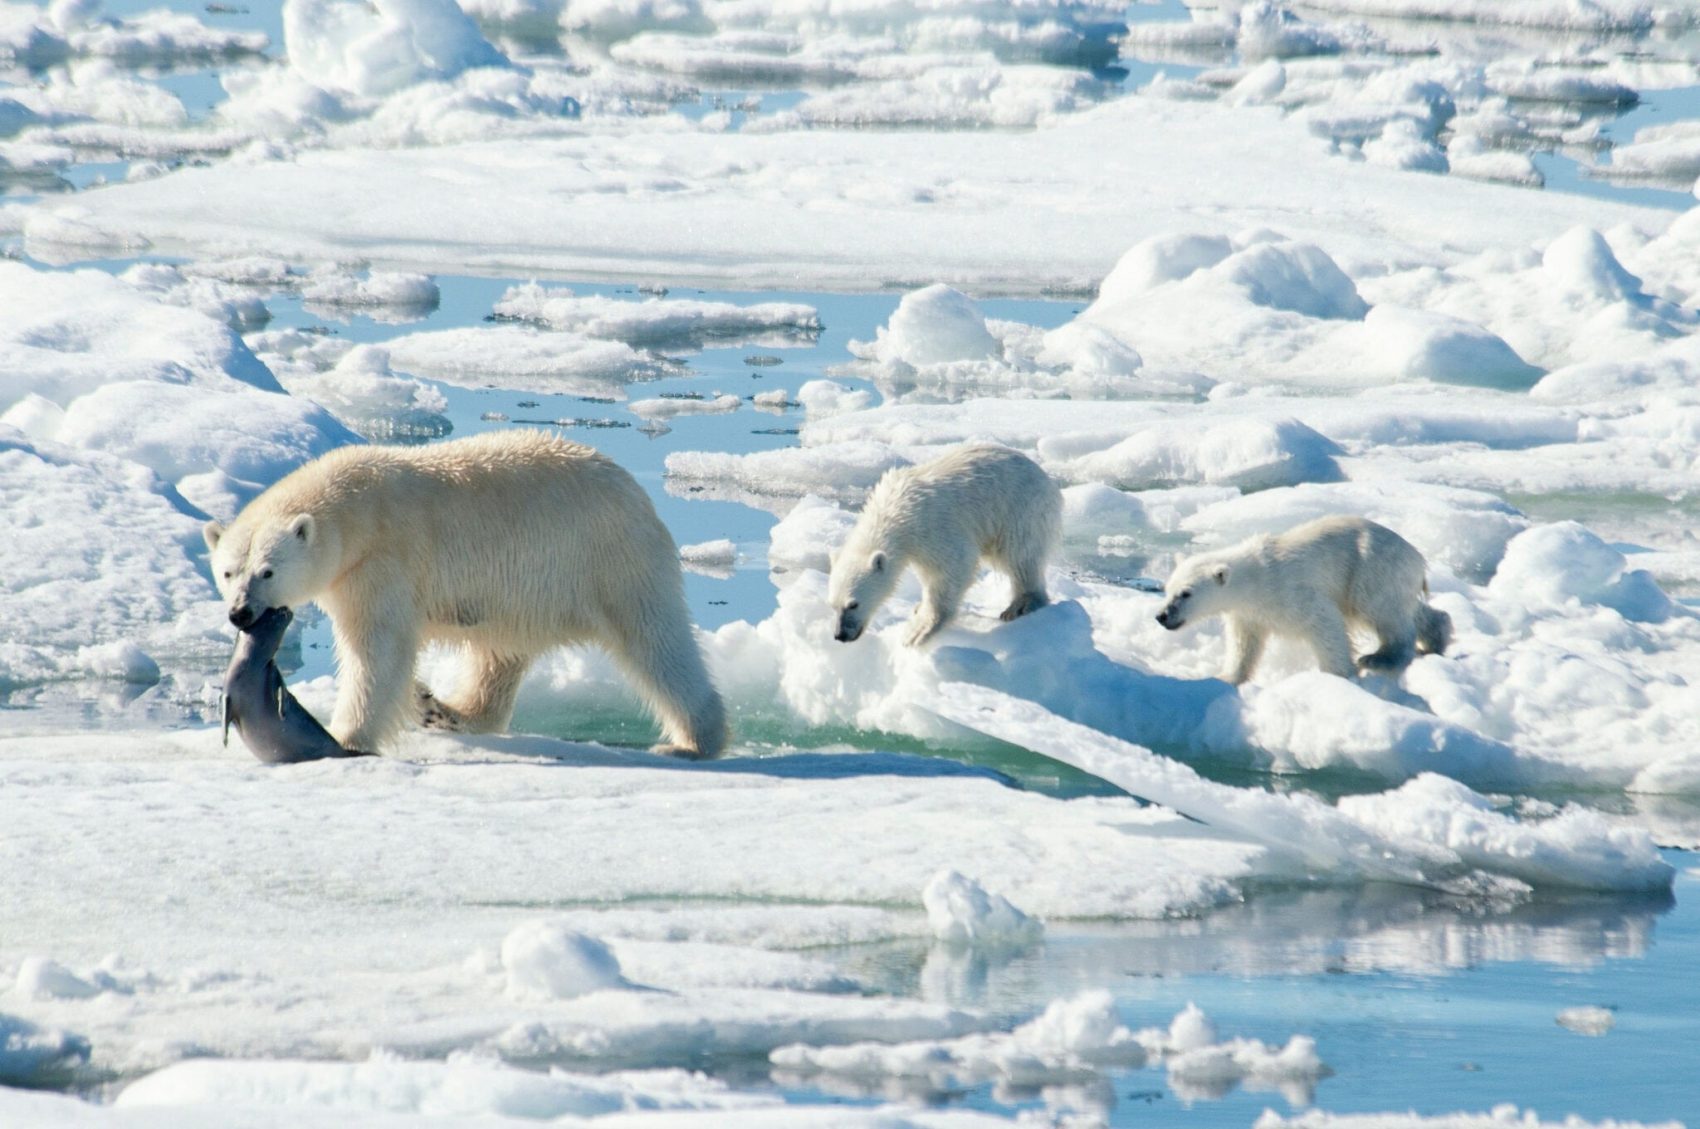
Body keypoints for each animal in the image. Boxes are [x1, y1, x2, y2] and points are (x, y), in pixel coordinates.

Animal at [204, 430, 724, 758]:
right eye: (228, 572)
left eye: (267, 571)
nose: (241, 614)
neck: (357, 507)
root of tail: (636, 491)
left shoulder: (384, 562)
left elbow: (378, 650)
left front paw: (347, 737)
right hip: (524, 593)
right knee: (499, 656)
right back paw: (445, 711)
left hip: (608, 561)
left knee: (657, 643)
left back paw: (694, 741)